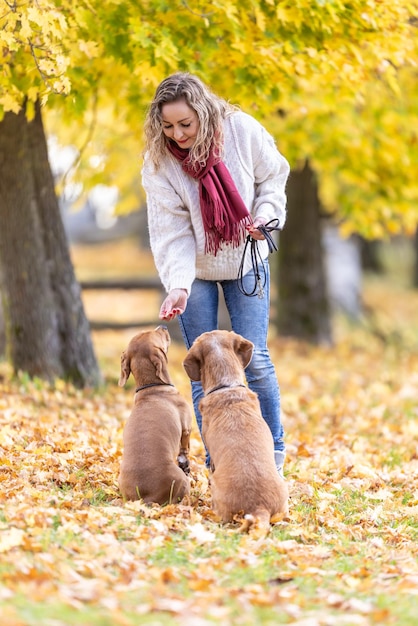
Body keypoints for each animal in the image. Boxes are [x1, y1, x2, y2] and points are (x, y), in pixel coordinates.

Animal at [117, 324, 193, 504]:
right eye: (152, 333)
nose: (163, 326)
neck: (152, 388)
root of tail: (145, 498)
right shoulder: (186, 427)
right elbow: (185, 447)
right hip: (181, 481)